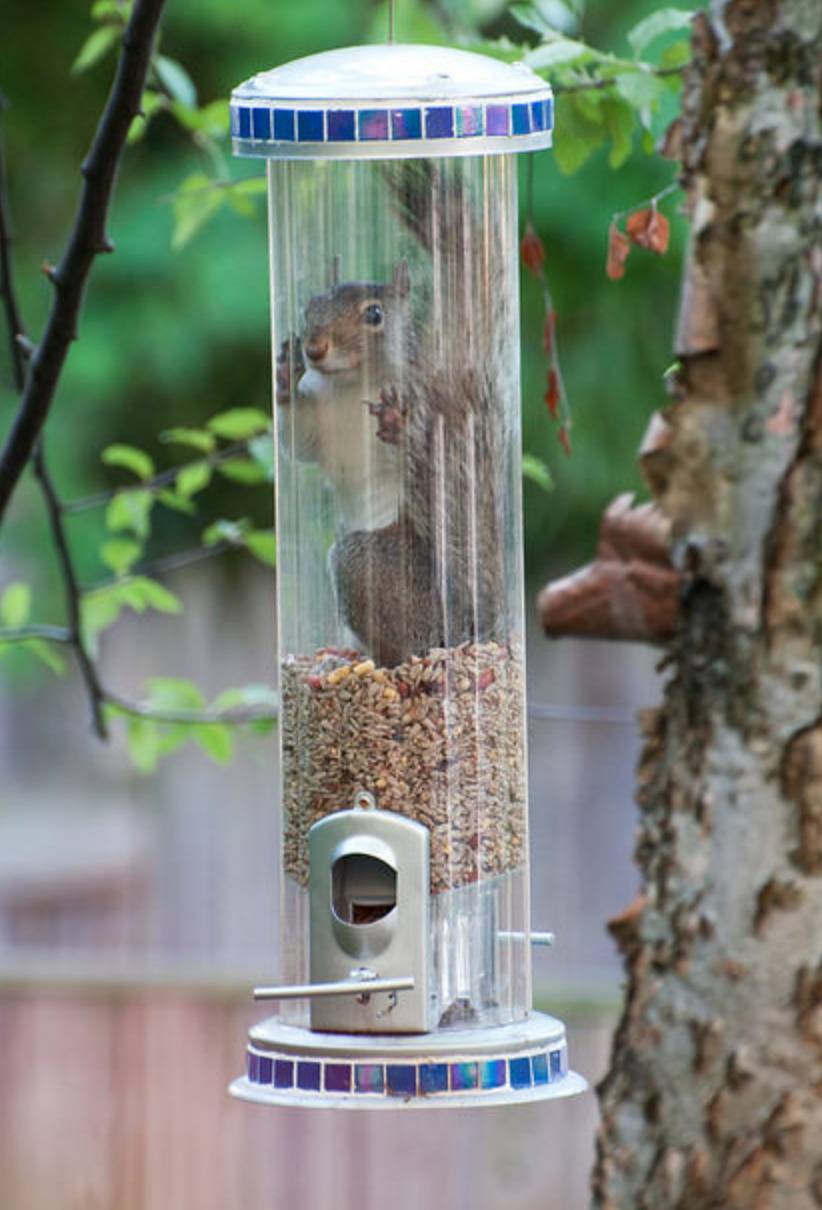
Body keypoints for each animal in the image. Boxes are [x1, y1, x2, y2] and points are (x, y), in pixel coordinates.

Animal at [276, 164, 510, 669]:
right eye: (309, 306)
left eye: (375, 315)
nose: (314, 348)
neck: (353, 387)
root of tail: (460, 627)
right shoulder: (318, 427)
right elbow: (297, 442)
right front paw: (283, 376)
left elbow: (433, 452)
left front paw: (398, 426)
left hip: (365, 562)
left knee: (401, 649)